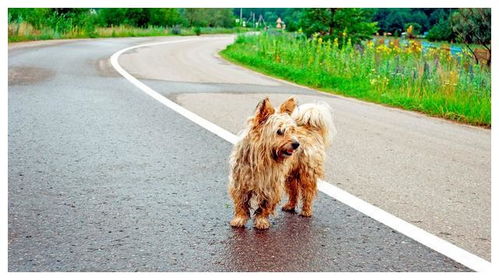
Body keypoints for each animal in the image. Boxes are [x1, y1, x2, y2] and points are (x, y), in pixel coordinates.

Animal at [229, 97, 334, 230]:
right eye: (279, 131)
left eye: (292, 130)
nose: (296, 144)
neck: (262, 158)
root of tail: (309, 128)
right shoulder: (240, 183)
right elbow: (241, 203)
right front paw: (239, 219)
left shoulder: (271, 185)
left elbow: (265, 204)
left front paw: (261, 220)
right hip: (290, 176)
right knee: (294, 191)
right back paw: (290, 205)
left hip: (306, 174)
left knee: (308, 192)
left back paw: (306, 210)